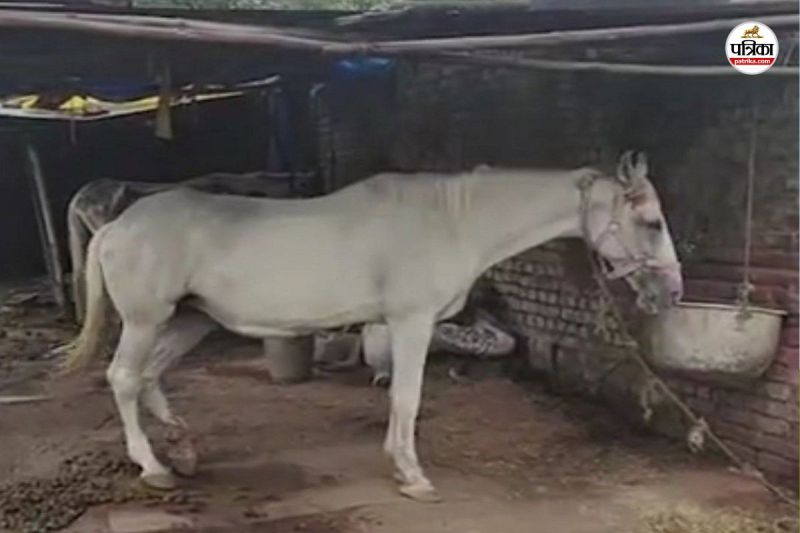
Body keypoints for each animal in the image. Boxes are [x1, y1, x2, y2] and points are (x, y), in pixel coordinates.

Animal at [61, 150, 682, 502]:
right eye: (651, 222)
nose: (672, 292)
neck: (450, 220)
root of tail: (116, 224)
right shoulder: (411, 323)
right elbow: (406, 396)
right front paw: (412, 475)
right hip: (146, 320)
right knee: (123, 379)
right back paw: (153, 468)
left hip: (189, 320)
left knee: (149, 378)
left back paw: (184, 451)